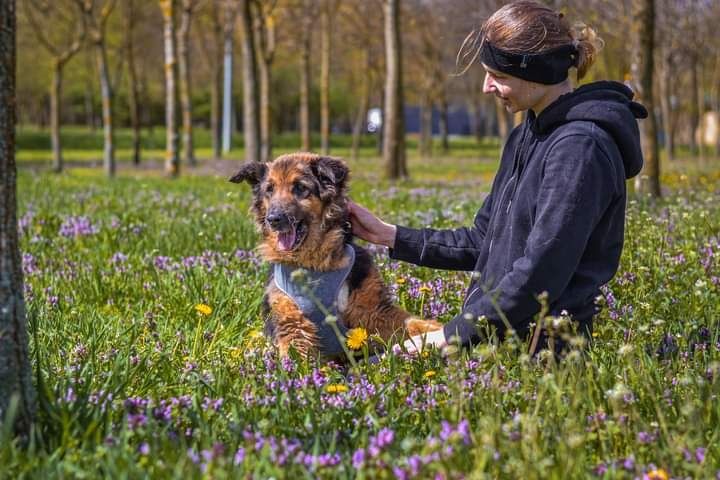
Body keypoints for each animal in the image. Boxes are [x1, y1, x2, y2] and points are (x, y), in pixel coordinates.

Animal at [233, 152, 442, 358]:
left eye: (300, 187)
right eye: (269, 190)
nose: (273, 219)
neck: (316, 263)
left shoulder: (372, 311)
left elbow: (414, 324)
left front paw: (438, 333)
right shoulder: (292, 321)